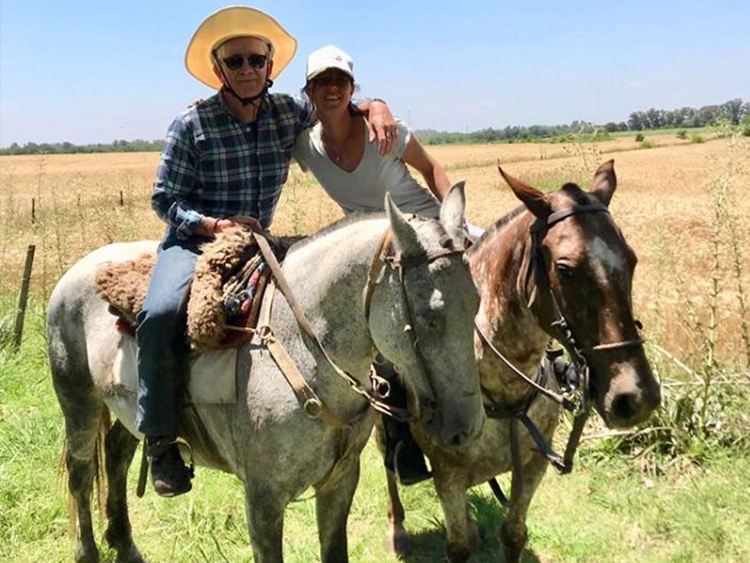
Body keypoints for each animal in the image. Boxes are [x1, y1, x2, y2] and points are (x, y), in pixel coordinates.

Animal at [51, 186, 488, 563]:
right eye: (430, 317)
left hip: (128, 407)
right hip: (78, 402)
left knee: (117, 456)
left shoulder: (340, 481)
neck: (302, 345)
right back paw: (87, 551)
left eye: (476, 301)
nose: (467, 429)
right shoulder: (263, 498)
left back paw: (125, 545)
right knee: (80, 472)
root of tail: (82, 267)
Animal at [382, 163, 664, 563]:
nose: (635, 397)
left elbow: (513, 534)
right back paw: (398, 530)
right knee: (389, 471)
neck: (504, 387)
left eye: (632, 259)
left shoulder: (533, 465)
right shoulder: (447, 473)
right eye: (565, 268)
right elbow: (458, 546)